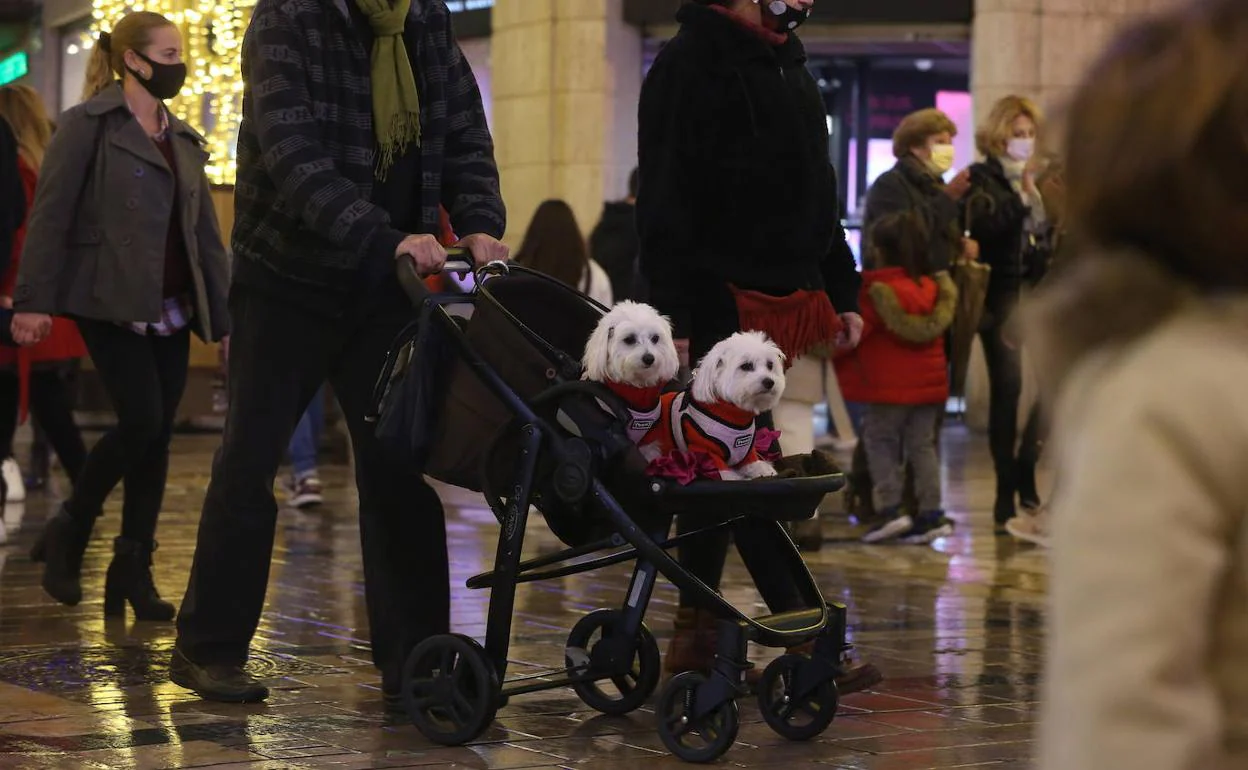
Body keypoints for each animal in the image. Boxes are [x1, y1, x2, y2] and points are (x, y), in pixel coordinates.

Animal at [648, 331, 783, 479]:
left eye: (770, 365)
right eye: (746, 366)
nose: (769, 382)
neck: (733, 414)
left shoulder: (746, 450)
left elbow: (751, 460)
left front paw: (762, 468)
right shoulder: (705, 450)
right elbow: (723, 472)